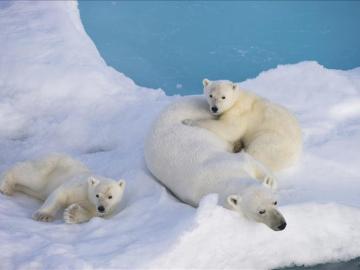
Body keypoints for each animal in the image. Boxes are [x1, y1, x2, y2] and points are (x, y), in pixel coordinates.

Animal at [145, 85, 300, 230]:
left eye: (275, 202)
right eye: (261, 211)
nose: (281, 225)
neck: (224, 173)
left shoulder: (237, 161)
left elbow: (254, 162)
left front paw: (269, 181)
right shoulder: (195, 194)